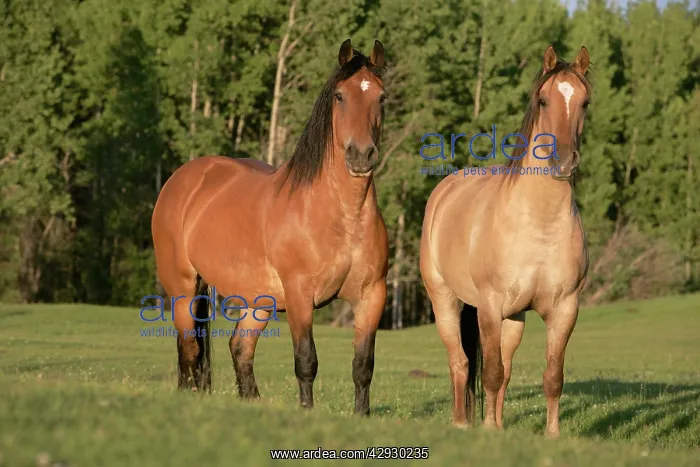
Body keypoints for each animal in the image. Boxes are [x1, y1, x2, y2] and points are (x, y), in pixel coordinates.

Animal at [151, 39, 389, 415]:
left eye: (381, 97)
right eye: (339, 96)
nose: (361, 155)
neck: (340, 216)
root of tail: (185, 178)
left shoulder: (372, 296)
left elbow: (363, 365)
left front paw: (362, 416)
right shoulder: (299, 294)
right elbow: (306, 360)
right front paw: (306, 411)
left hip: (257, 300)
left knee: (240, 347)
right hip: (183, 288)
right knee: (190, 350)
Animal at [419, 45, 591, 438]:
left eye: (585, 102)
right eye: (543, 100)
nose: (563, 161)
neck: (539, 224)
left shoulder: (565, 310)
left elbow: (551, 377)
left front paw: (552, 435)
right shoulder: (489, 306)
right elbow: (491, 374)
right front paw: (489, 432)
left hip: (514, 318)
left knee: (505, 368)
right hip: (446, 303)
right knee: (461, 362)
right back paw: (462, 422)